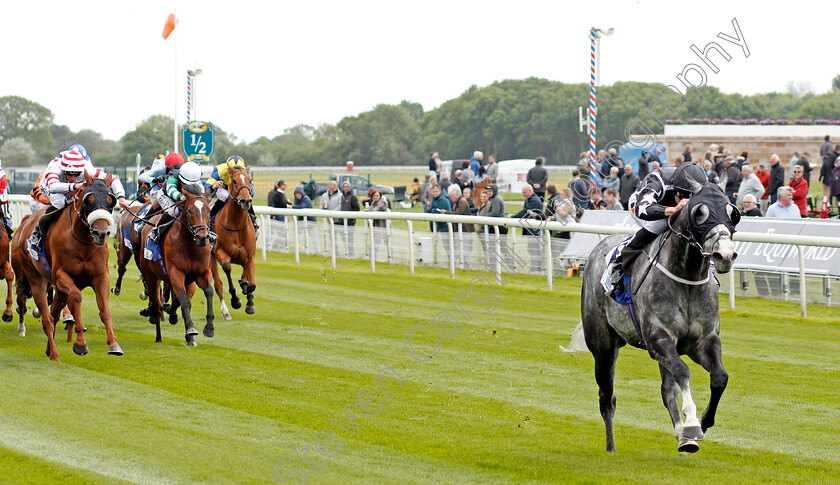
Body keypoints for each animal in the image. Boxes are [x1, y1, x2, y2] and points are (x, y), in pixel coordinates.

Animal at [10, 173, 122, 360]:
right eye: (88, 199)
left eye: (110, 200)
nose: (101, 233)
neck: (83, 243)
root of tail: (25, 223)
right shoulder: (61, 276)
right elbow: (76, 297)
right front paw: (80, 343)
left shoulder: (100, 277)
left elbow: (105, 310)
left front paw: (114, 344)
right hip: (36, 279)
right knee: (47, 318)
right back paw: (54, 354)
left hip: (60, 291)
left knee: (53, 315)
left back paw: (49, 350)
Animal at [136, 188, 215, 344]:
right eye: (189, 210)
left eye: (208, 210)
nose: (203, 237)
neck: (190, 246)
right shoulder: (176, 273)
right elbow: (184, 301)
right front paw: (191, 329)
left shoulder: (201, 273)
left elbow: (208, 292)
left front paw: (209, 327)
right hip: (151, 277)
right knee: (156, 305)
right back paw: (158, 336)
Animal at [210, 164, 256, 320]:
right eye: (234, 181)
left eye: (250, 180)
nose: (246, 201)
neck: (237, 225)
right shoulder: (220, 252)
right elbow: (227, 268)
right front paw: (236, 301)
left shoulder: (250, 256)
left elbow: (251, 283)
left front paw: (249, 302)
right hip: (210, 257)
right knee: (218, 284)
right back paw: (225, 312)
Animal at [576, 176, 740, 452]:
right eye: (699, 212)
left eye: (733, 213)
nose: (725, 255)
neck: (687, 278)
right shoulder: (657, 338)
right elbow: (683, 371)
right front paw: (692, 424)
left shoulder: (703, 340)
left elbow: (720, 377)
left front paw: (702, 423)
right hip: (603, 347)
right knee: (607, 398)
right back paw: (611, 448)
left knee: (667, 390)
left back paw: (681, 435)